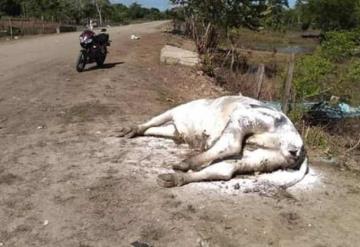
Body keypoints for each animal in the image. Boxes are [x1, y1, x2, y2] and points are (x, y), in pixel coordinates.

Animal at [116, 95, 308, 188]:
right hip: (260, 158)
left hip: (245, 117)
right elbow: (153, 128)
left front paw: (130, 130)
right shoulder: (177, 130)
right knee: (224, 170)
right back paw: (174, 178)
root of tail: (301, 148)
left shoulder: (176, 111)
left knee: (232, 144)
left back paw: (185, 163)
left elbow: (154, 120)